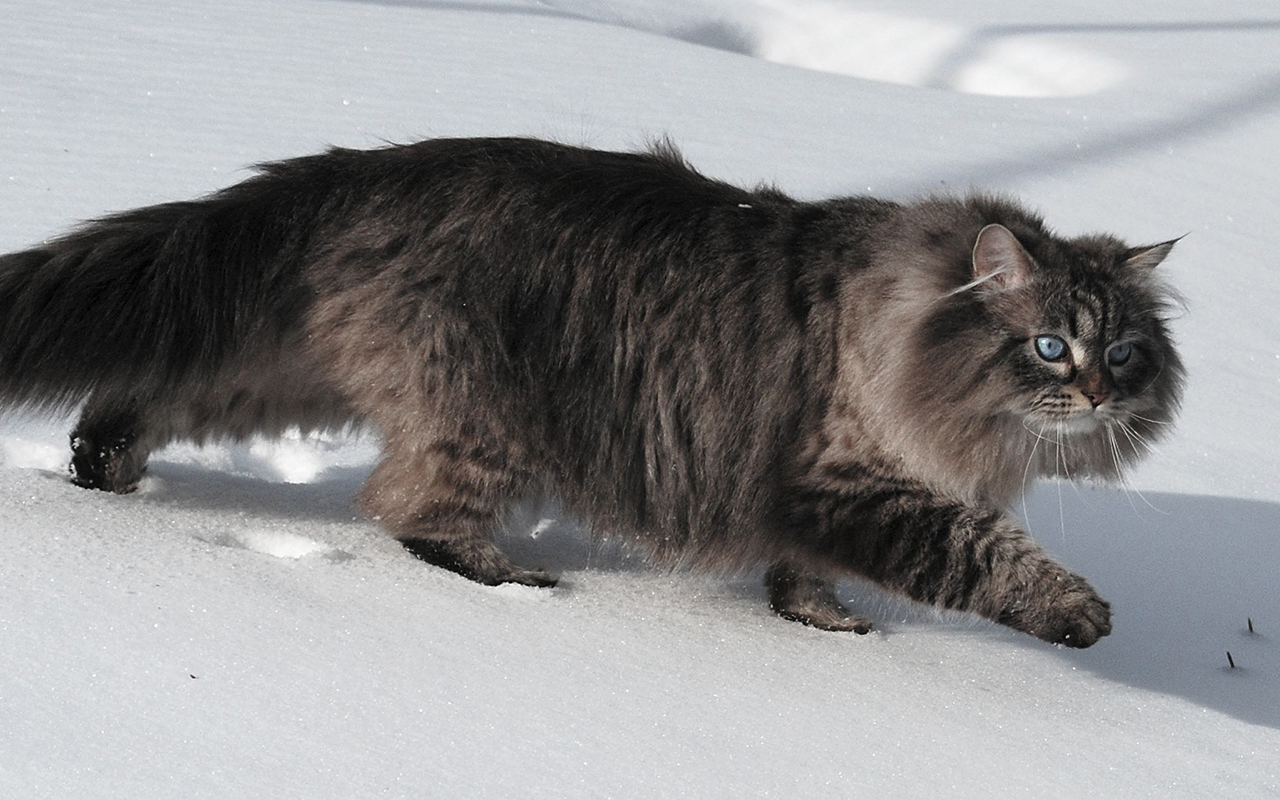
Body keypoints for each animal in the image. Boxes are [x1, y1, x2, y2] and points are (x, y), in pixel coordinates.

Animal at [0, 136, 1182, 645]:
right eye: (1047, 347)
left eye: (1125, 352)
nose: (1097, 395)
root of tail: (362, 171)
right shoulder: (850, 481)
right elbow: (979, 550)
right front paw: (1076, 611)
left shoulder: (822, 497)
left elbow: (807, 579)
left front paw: (823, 624)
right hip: (480, 414)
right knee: (408, 513)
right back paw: (507, 577)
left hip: (290, 364)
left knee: (152, 392)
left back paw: (103, 468)